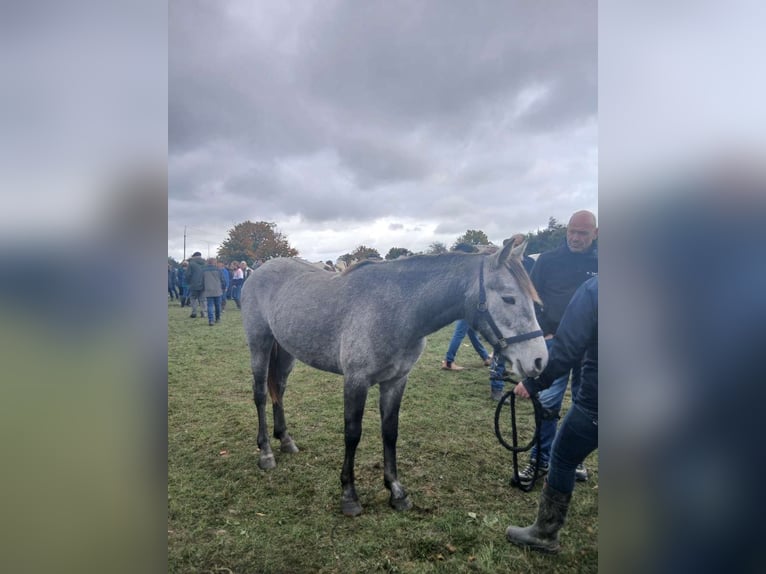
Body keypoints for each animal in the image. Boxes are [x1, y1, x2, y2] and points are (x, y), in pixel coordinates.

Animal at [240, 238, 548, 516]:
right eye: (509, 298)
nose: (538, 360)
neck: (395, 309)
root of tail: (259, 271)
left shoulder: (396, 381)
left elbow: (390, 432)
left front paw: (397, 491)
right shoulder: (356, 381)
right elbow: (352, 433)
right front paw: (349, 496)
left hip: (286, 352)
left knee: (278, 390)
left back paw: (285, 440)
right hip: (260, 344)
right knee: (260, 395)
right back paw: (266, 452)